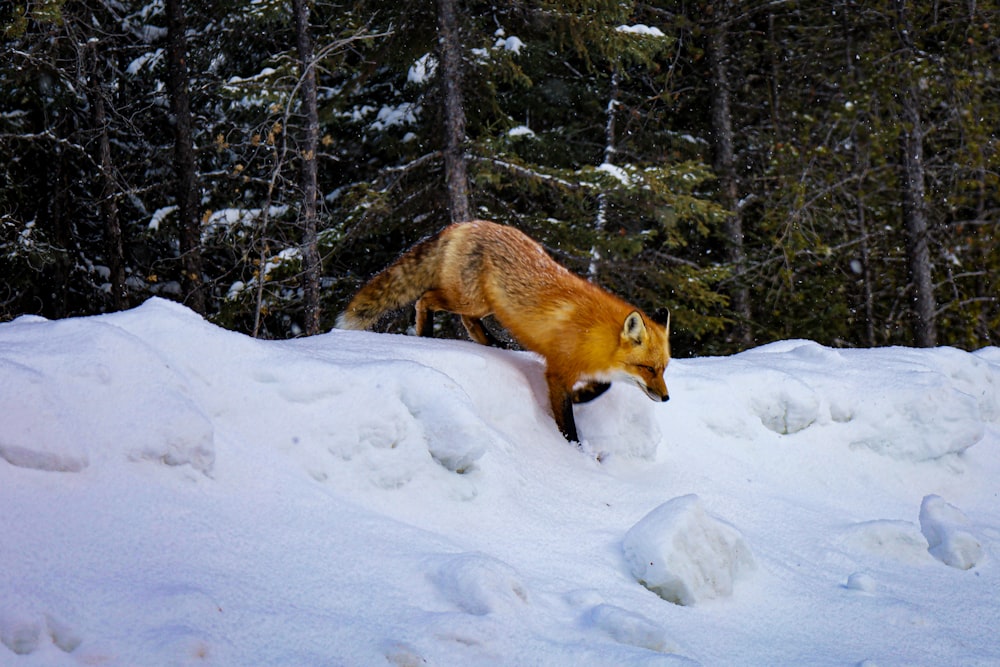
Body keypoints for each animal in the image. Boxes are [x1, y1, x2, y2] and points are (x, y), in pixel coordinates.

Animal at [338, 219, 672, 446]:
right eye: (647, 368)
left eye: (663, 369)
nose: (667, 398)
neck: (595, 334)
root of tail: (465, 223)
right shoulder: (557, 372)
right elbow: (567, 421)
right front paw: (574, 447)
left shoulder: (583, 367)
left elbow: (604, 386)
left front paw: (583, 395)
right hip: (470, 299)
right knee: (425, 299)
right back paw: (426, 333)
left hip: (483, 304)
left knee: (467, 321)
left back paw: (492, 343)